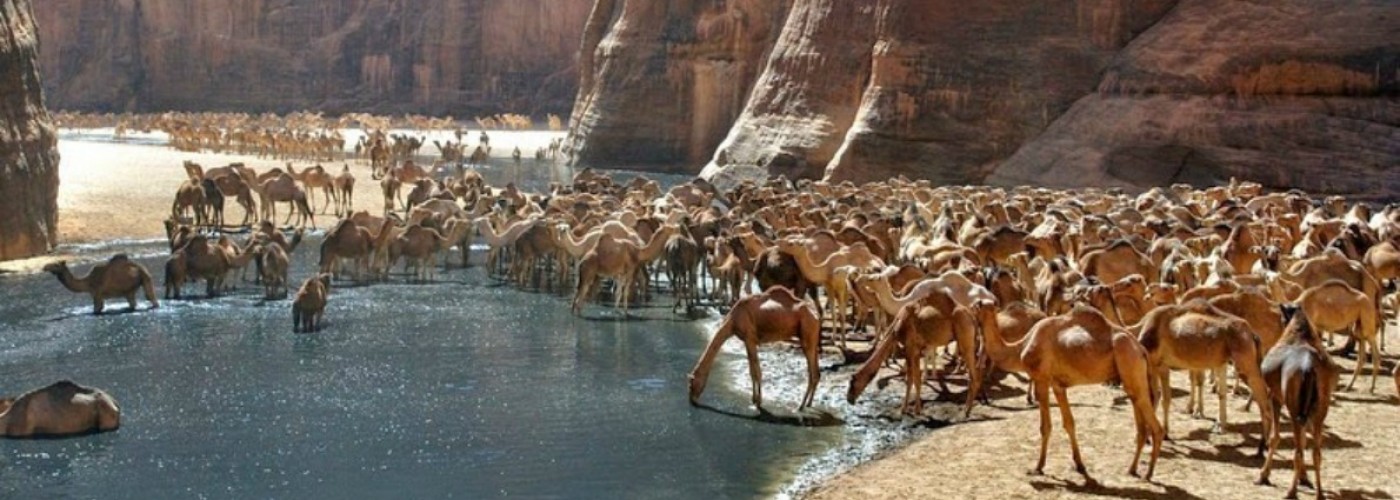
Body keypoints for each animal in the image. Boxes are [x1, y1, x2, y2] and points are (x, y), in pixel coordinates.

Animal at [686, 285, 817, 411]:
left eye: (691, 383)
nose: (692, 400)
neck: (732, 320)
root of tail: (816, 316)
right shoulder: (747, 340)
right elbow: (751, 370)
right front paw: (754, 399)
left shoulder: (750, 338)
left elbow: (756, 371)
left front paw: (758, 403)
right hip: (811, 340)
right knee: (816, 371)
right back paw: (809, 403)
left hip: (807, 334)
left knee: (812, 373)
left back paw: (801, 406)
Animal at [845, 285, 980, 414]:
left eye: (852, 383)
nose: (849, 399)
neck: (897, 327)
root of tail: (971, 316)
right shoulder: (915, 350)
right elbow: (916, 379)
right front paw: (917, 409)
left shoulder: (910, 347)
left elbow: (910, 379)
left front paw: (904, 409)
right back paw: (967, 409)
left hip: (965, 336)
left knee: (973, 375)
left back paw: (966, 411)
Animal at [980, 302, 1164, 476]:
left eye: (978, 305)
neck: (1020, 348)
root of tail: (1141, 349)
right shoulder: (1058, 385)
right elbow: (1069, 423)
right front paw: (1079, 465)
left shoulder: (1041, 379)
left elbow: (1045, 427)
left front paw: (1038, 467)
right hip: (1133, 376)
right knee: (1141, 423)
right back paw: (1132, 469)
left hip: (1129, 360)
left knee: (1155, 426)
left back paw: (1149, 473)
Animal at [1254, 308, 1338, 498]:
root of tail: (1309, 368)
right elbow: (1304, 441)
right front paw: (1304, 479)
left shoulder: (1275, 396)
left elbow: (1275, 437)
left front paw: (1263, 476)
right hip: (1320, 408)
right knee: (1316, 451)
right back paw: (1320, 494)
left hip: (1293, 407)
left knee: (1298, 450)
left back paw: (1291, 492)